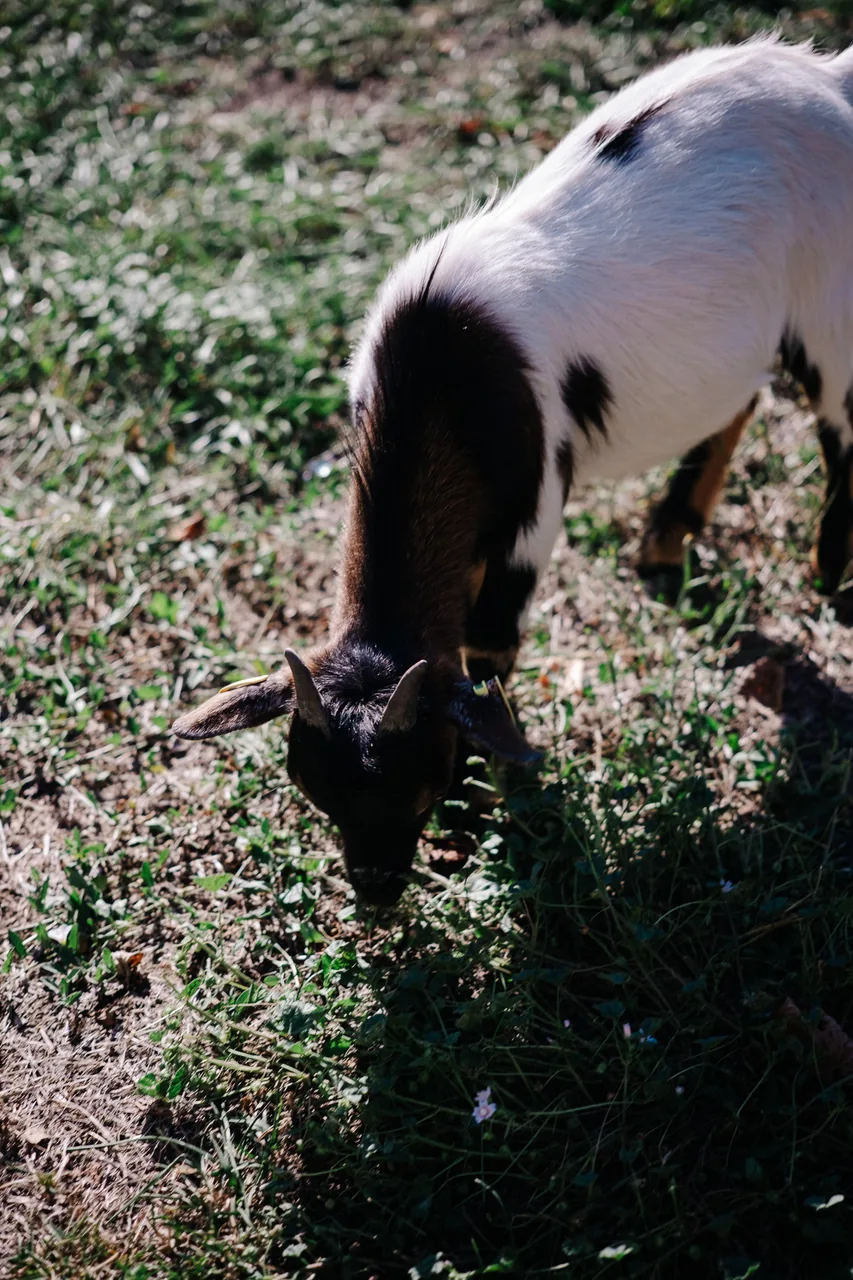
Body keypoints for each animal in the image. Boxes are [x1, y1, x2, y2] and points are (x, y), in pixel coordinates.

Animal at [173, 37, 853, 906]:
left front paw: (491, 800)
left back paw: (828, 571)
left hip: (831, 312)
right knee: (740, 395)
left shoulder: (531, 503)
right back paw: (667, 537)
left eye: (421, 781)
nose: (377, 891)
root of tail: (831, 76)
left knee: (839, 424)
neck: (439, 370)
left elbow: (486, 647)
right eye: (315, 790)